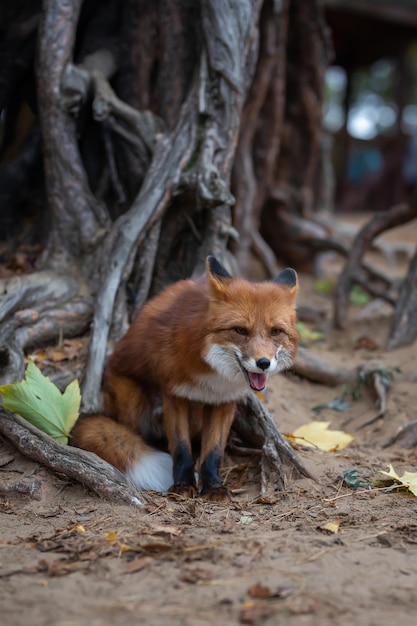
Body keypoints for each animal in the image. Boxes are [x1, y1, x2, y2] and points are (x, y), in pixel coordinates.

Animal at [72, 254, 300, 498]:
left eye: (275, 332)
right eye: (240, 330)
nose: (263, 363)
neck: (216, 377)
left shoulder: (225, 402)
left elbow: (214, 451)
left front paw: (213, 486)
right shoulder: (174, 394)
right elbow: (181, 447)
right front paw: (182, 484)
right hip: (133, 398)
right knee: (134, 433)